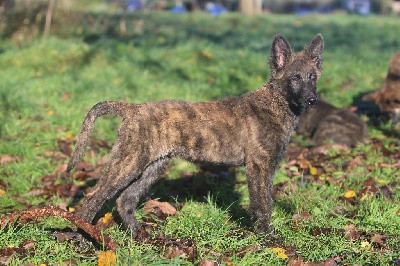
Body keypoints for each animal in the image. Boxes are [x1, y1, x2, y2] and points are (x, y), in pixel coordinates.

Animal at [68, 33, 324, 233]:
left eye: (312, 77)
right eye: (295, 78)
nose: (314, 101)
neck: (275, 103)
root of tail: (134, 109)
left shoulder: (266, 167)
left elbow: (267, 201)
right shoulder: (259, 166)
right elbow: (262, 205)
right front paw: (268, 237)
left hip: (153, 166)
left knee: (125, 199)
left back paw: (136, 234)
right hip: (128, 162)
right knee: (93, 198)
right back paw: (83, 237)